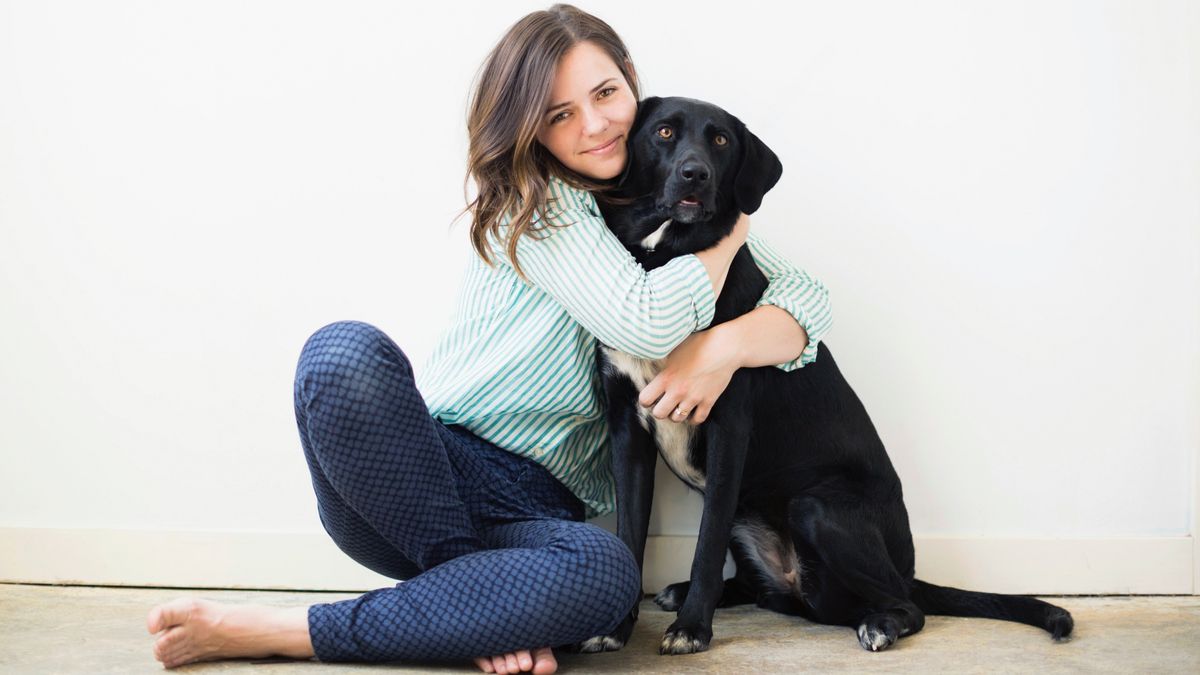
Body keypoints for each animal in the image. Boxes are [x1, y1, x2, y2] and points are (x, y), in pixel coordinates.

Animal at [576, 96, 1075, 653]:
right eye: (664, 132)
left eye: (721, 140)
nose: (695, 174)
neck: (665, 259)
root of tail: (909, 569)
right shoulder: (628, 430)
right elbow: (628, 536)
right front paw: (614, 627)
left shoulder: (728, 426)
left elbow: (705, 546)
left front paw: (691, 629)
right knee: (766, 590)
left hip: (816, 508)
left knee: (908, 607)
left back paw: (880, 624)